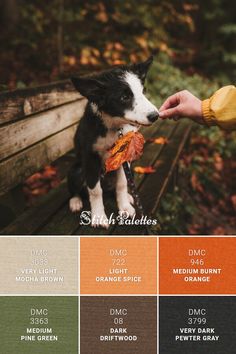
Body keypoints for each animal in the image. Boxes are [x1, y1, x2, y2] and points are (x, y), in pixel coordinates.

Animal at [68, 55, 159, 227]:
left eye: (143, 91)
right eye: (124, 97)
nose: (155, 116)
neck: (114, 126)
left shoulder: (124, 156)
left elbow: (122, 183)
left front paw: (125, 207)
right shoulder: (90, 157)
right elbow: (95, 190)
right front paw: (98, 216)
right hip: (76, 170)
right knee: (76, 187)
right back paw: (75, 201)